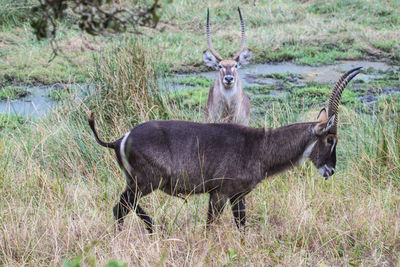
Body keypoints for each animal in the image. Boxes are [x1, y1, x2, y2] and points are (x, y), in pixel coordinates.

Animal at [89, 67, 360, 234]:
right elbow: (211, 226)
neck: (261, 145)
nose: (331, 170)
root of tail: (120, 138)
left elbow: (241, 226)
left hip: (137, 182)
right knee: (121, 207)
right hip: (146, 182)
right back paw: (149, 230)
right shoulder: (219, 193)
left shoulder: (238, 195)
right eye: (331, 139)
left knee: (124, 207)